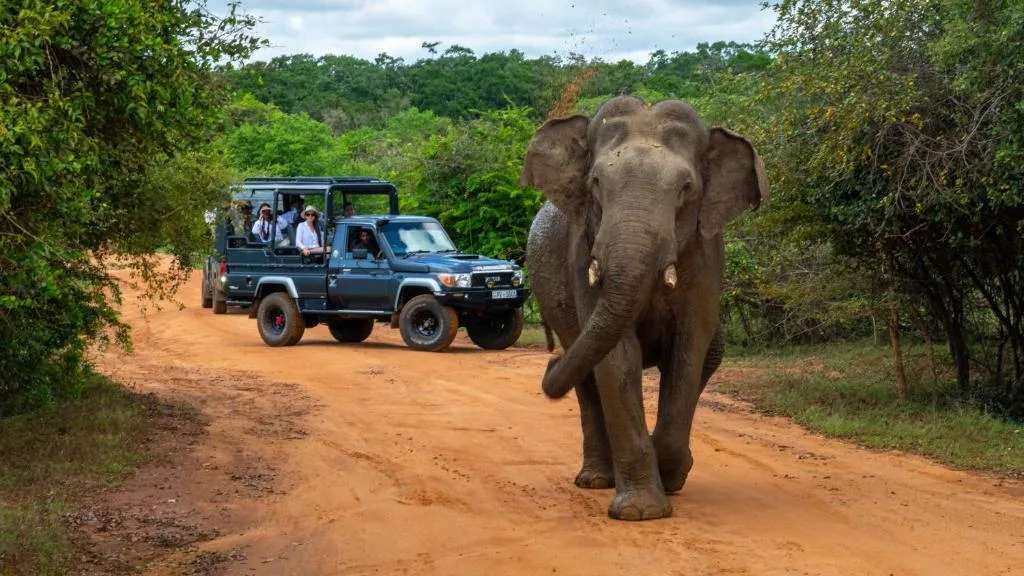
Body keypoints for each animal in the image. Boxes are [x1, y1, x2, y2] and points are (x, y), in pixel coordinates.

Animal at [521, 95, 768, 521]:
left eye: (686, 188)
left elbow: (690, 348)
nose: (550, 362)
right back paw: (595, 480)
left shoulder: (707, 253)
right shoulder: (582, 249)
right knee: (586, 375)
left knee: (709, 354)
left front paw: (669, 477)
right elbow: (618, 358)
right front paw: (640, 512)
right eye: (595, 184)